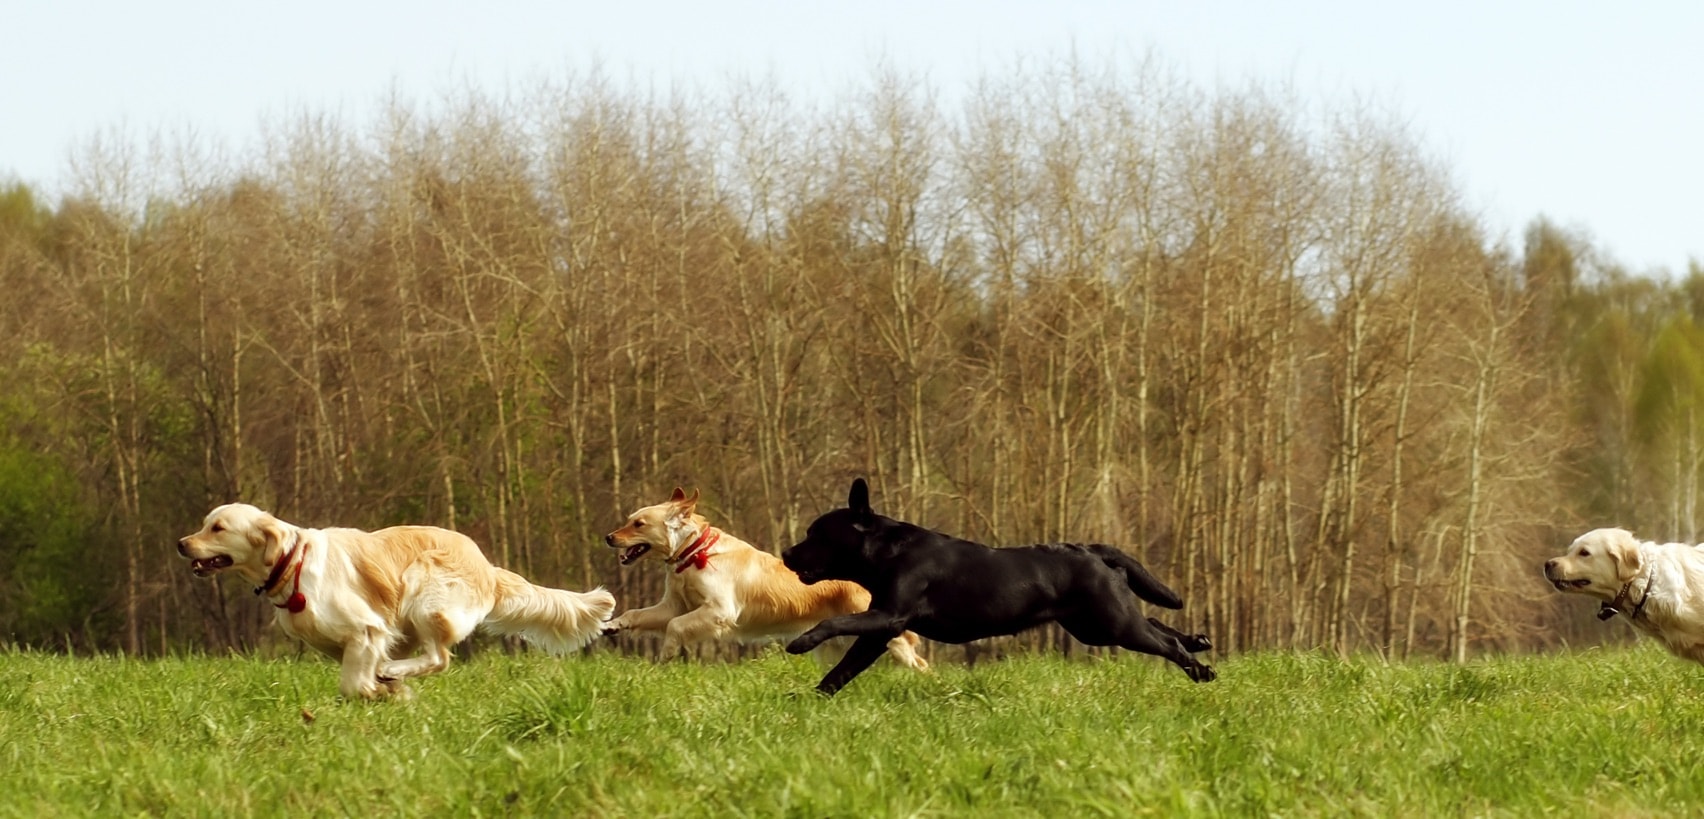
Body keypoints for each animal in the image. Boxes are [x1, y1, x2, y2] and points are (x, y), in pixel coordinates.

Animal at [172, 500, 610, 698]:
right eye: (205, 524)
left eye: (217, 528)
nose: (181, 544)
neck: (290, 563)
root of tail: (487, 566)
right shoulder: (355, 640)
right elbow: (359, 673)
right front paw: (389, 691)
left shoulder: (366, 629)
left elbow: (353, 682)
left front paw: (380, 692)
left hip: (424, 591)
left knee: (440, 657)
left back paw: (395, 672)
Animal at [780, 476, 1213, 691]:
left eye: (816, 535)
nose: (785, 553)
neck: (889, 551)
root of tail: (1093, 550)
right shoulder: (878, 631)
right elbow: (841, 671)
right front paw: (810, 700)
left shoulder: (888, 616)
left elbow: (834, 622)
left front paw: (801, 643)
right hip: (1096, 626)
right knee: (1156, 625)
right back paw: (1199, 642)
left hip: (1112, 623)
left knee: (1165, 643)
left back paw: (1201, 670)